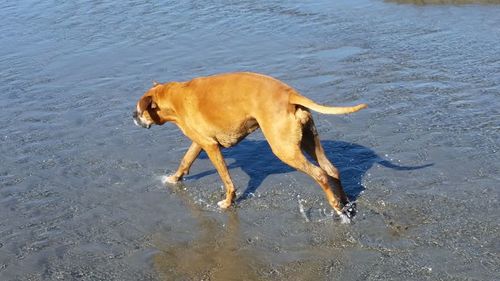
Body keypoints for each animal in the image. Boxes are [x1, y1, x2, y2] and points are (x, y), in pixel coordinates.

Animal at [133, 71, 368, 220]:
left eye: (138, 110)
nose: (132, 117)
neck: (175, 97)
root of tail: (289, 94)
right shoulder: (200, 142)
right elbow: (185, 161)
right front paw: (173, 179)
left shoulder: (211, 147)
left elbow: (227, 180)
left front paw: (228, 202)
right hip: (310, 141)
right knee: (332, 170)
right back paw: (346, 204)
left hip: (284, 149)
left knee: (320, 175)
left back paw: (336, 207)